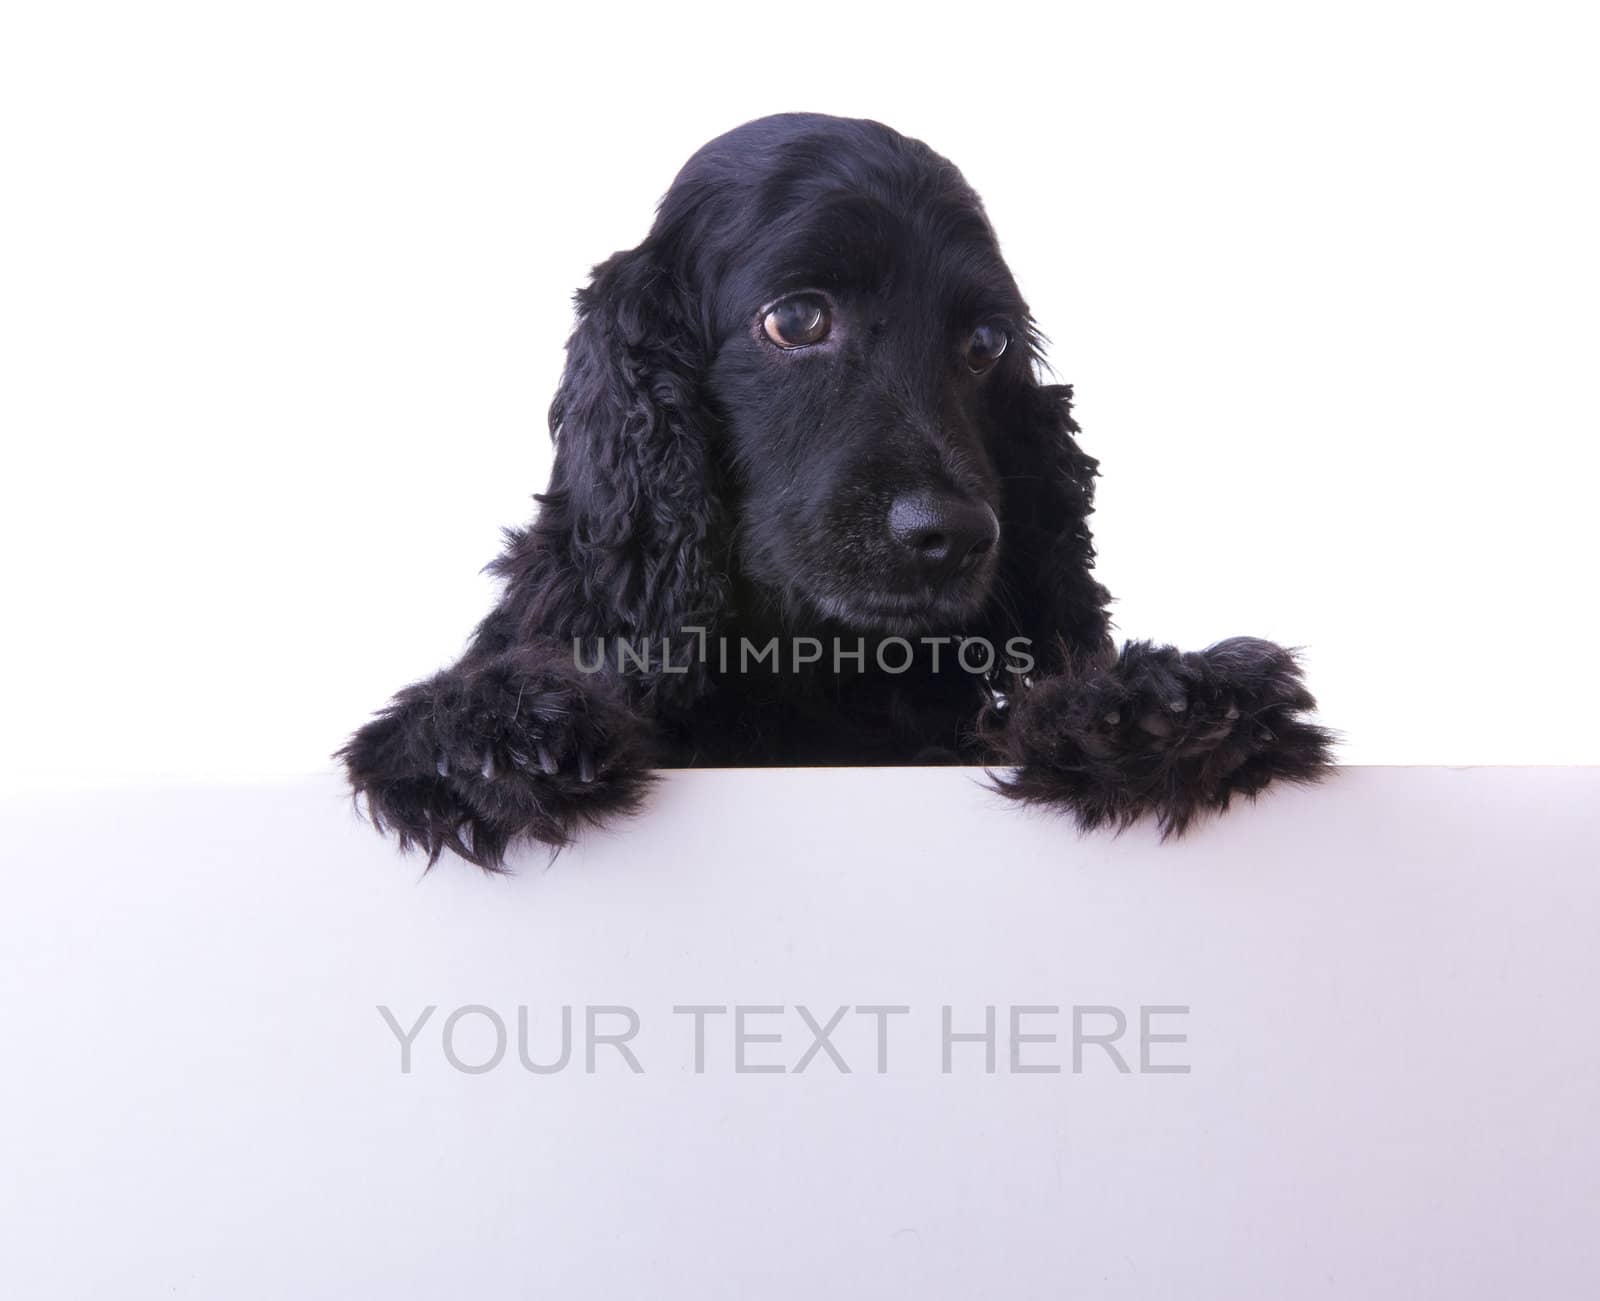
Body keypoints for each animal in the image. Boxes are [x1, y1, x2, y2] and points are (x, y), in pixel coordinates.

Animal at [340, 108, 1337, 864]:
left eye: (987, 344)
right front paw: (490, 731)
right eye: (796, 318)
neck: (812, 664)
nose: (953, 534)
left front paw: (1163, 705)